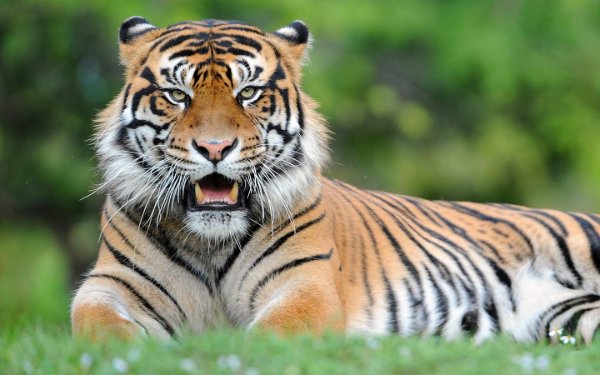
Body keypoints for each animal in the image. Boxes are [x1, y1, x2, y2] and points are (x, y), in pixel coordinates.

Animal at [71, 17, 600, 346]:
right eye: (177, 95)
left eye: (249, 93)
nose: (215, 148)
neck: (211, 243)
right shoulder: (110, 284)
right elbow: (95, 323)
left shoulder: (307, 284)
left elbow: (272, 332)